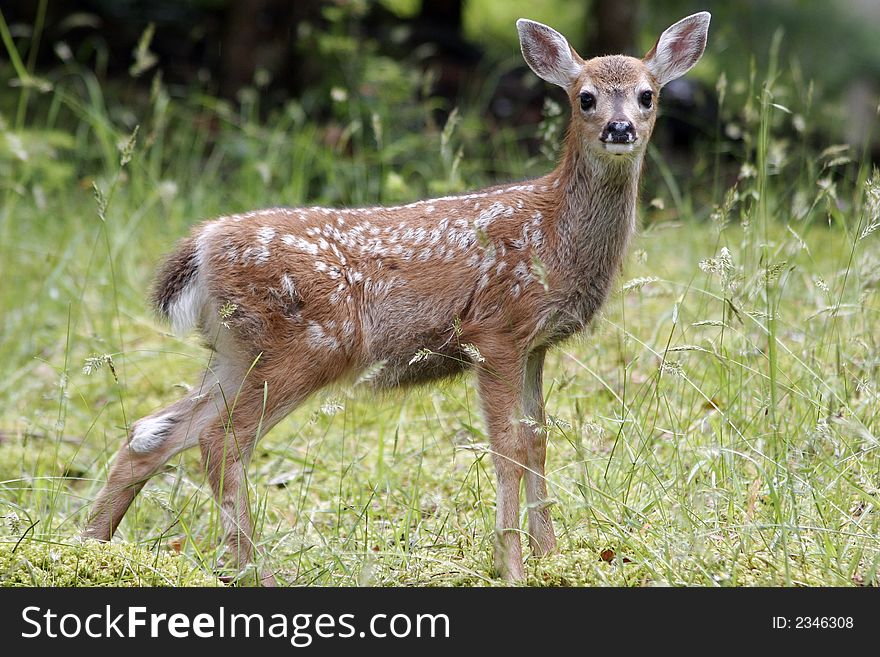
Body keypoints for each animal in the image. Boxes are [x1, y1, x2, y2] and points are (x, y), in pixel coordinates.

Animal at [82, 12, 712, 580]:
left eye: (647, 96)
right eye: (585, 98)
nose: (619, 129)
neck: (555, 235)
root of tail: (202, 244)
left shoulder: (535, 345)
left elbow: (537, 442)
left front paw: (552, 558)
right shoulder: (496, 329)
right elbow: (506, 448)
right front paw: (512, 567)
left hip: (238, 352)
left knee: (155, 431)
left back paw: (90, 548)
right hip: (306, 345)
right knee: (221, 441)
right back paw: (253, 572)